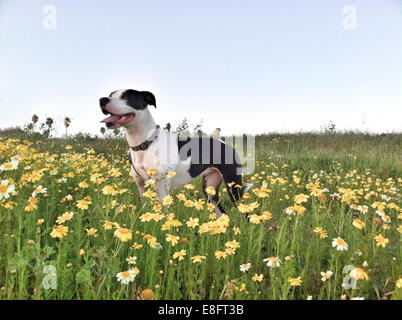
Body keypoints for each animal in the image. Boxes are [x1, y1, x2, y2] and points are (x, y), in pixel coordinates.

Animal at [98, 89, 251, 216]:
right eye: (111, 95)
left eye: (126, 96)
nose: (102, 100)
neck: (145, 144)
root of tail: (228, 145)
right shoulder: (141, 185)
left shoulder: (161, 185)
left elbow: (164, 214)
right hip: (210, 190)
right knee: (222, 214)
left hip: (233, 187)